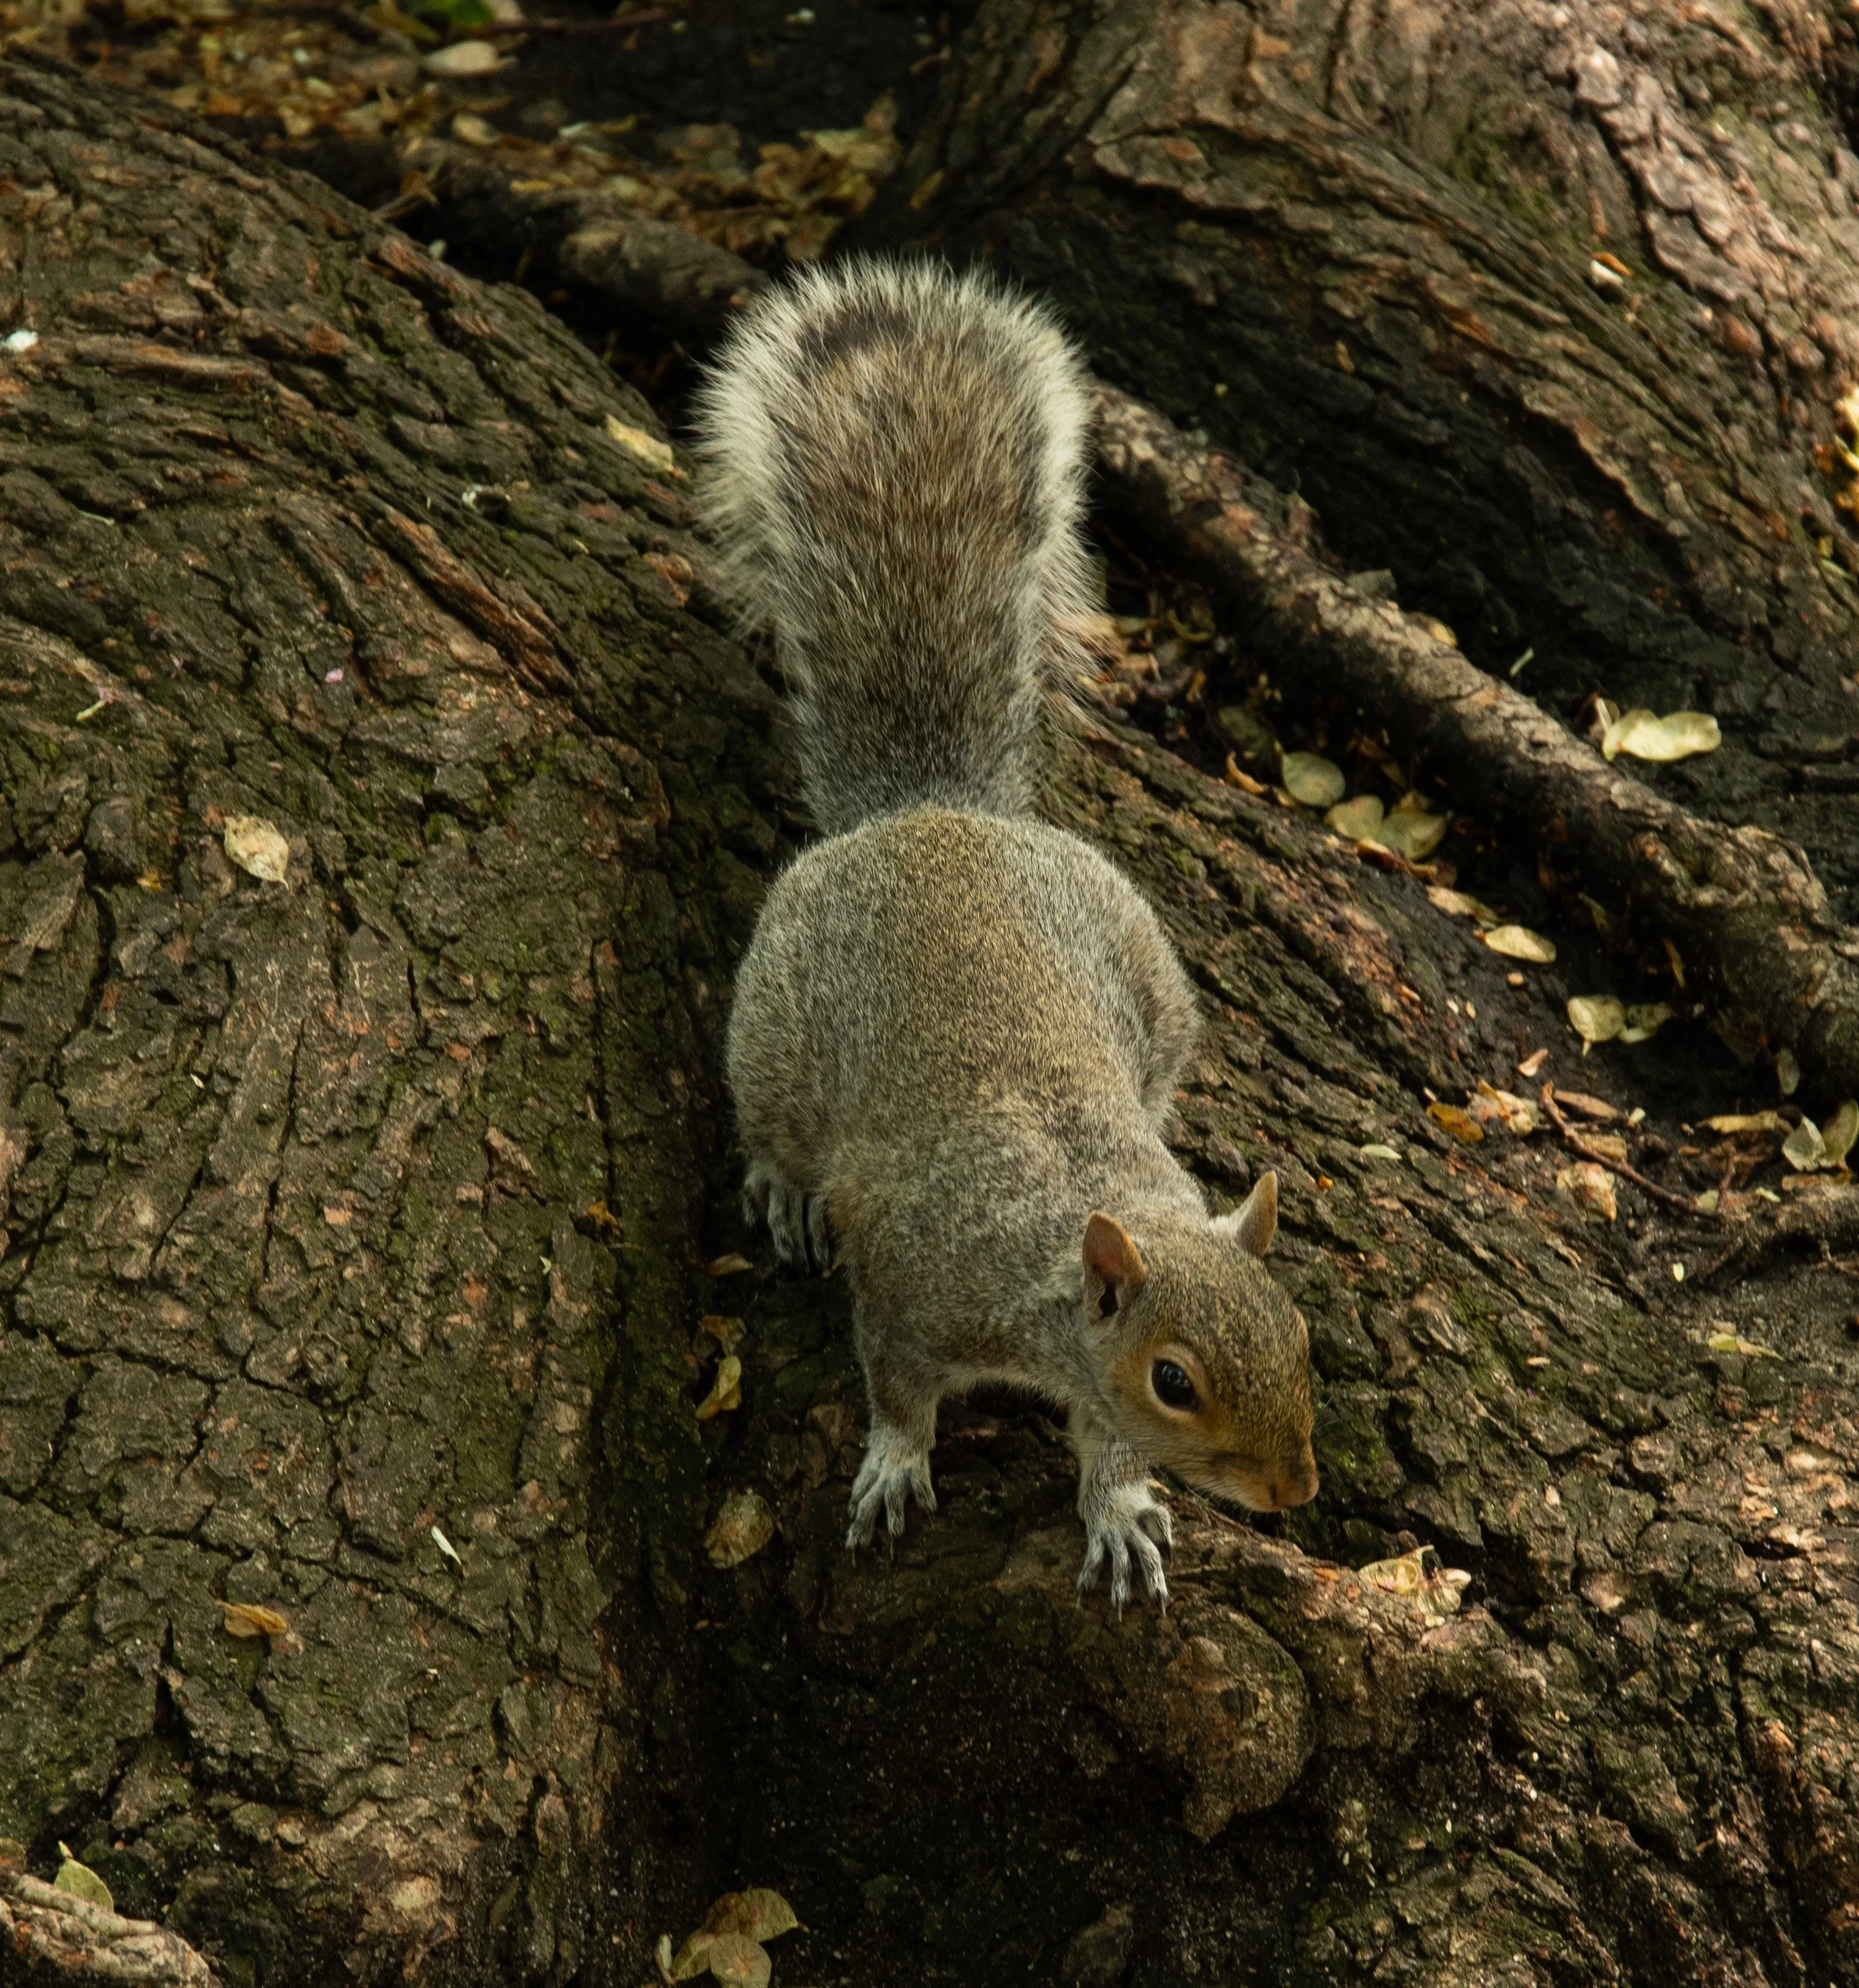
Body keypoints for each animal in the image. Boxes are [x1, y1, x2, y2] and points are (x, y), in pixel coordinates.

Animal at [695, 258, 1318, 1607]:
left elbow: (1102, 1453)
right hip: (777, 1029)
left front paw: (1119, 1508)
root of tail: (932, 807)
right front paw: (892, 1464)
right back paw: (779, 1184)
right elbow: (895, 1387)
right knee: (769, 1118)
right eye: (1175, 1379)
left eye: (1297, 1328)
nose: (1293, 1490)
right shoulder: (909, 1284)